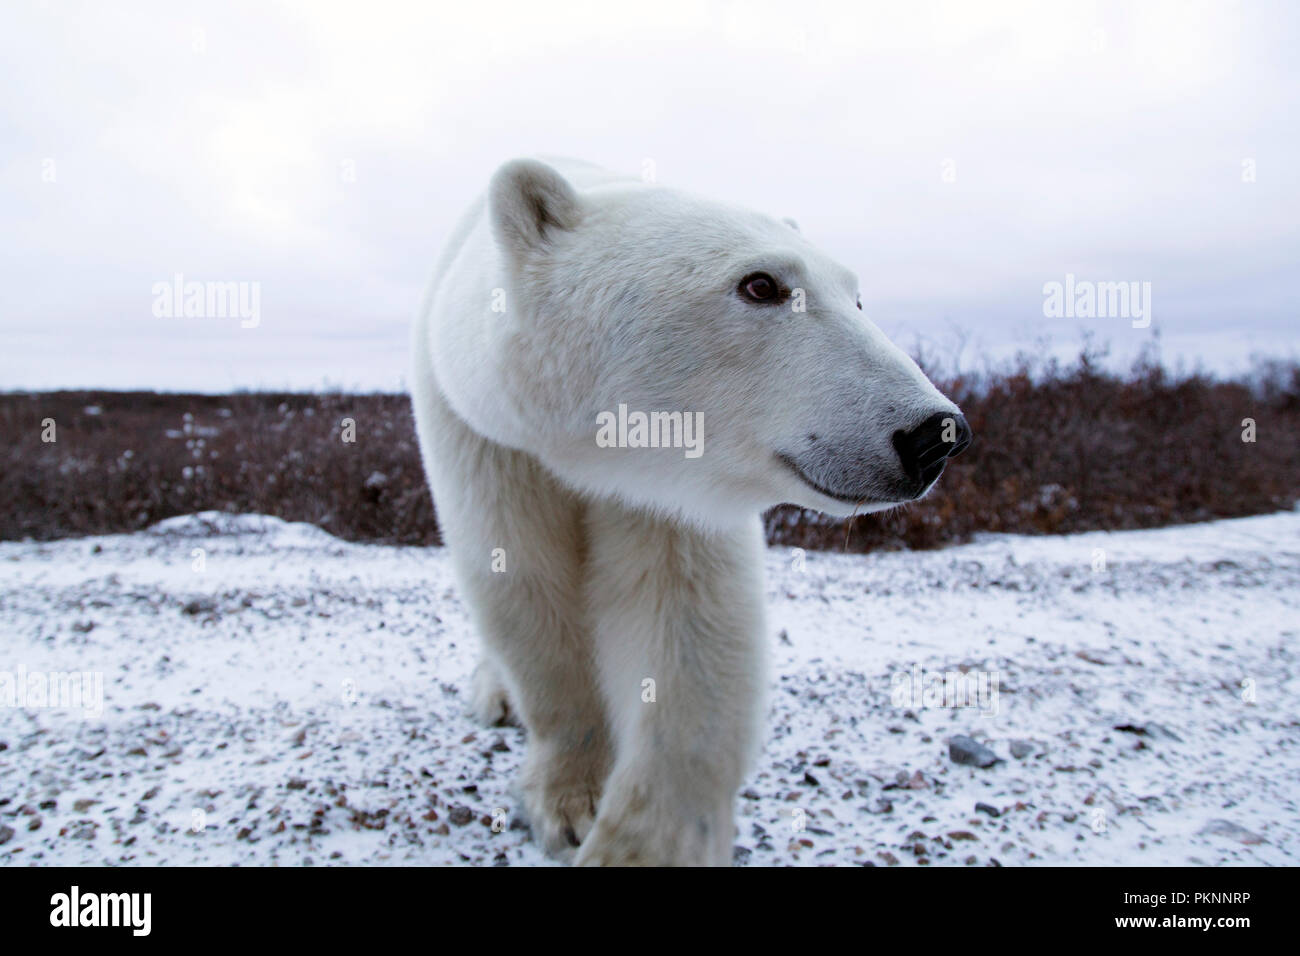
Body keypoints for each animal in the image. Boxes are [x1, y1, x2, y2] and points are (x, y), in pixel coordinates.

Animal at [410, 158, 972, 868]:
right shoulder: (488, 438)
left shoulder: (677, 491)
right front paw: (569, 802)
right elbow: (524, 581)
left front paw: (640, 844)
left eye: (858, 296)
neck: (587, 453)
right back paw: (495, 694)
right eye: (761, 284)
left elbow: (688, 623)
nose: (934, 433)